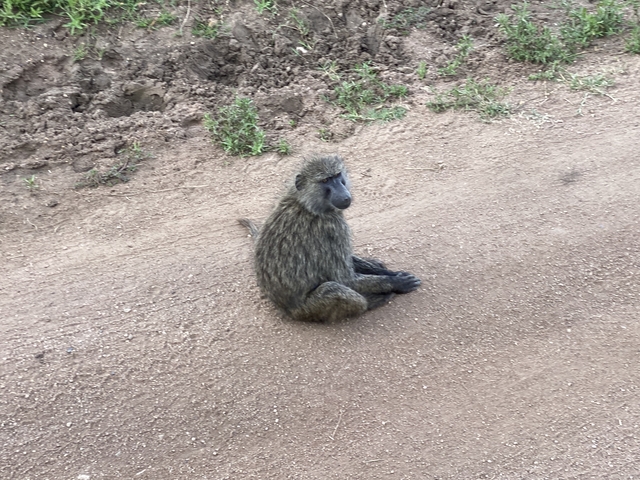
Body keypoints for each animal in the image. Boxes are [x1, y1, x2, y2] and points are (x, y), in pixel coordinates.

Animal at [239, 154, 421, 322]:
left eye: (337, 176)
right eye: (326, 180)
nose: (345, 195)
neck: (306, 204)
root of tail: (286, 309)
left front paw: (389, 272)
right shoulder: (334, 226)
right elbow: (345, 279)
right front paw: (397, 282)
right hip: (309, 309)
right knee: (336, 289)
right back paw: (373, 300)